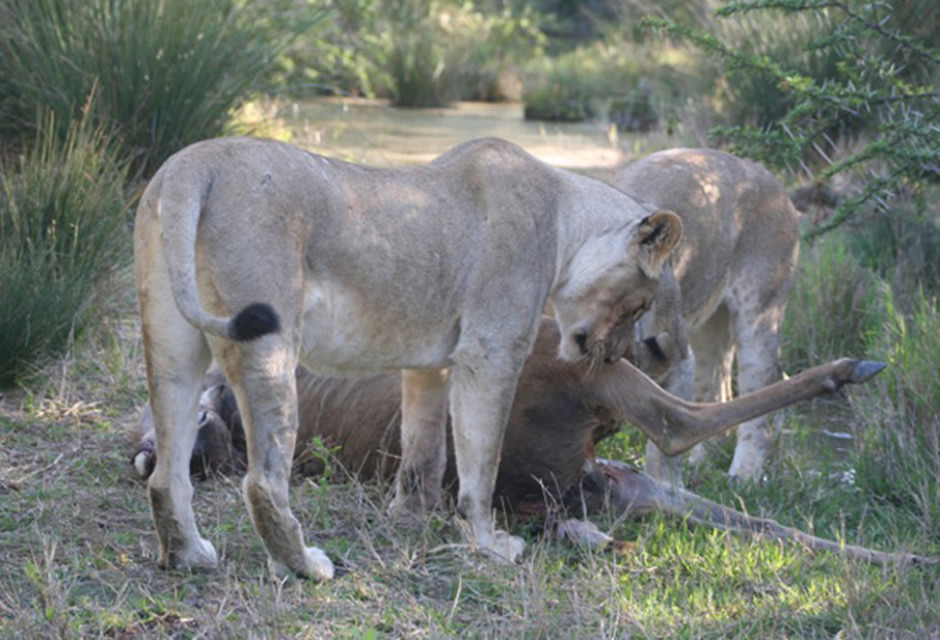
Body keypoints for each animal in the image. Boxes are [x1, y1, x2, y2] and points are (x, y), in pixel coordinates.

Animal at [130, 316, 916, 564]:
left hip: (613, 480)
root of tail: (556, 494)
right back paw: (852, 370)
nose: (149, 451)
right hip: (566, 373)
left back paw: (902, 556)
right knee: (677, 425)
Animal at [134, 136, 684, 580]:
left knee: (166, 474)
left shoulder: (431, 364)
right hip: (270, 343)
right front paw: (489, 545)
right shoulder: (491, 351)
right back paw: (304, 566)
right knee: (263, 482)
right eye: (640, 304)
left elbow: (424, 448)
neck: (566, 220)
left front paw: (409, 516)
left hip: (172, 346)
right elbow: (481, 462)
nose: (615, 355)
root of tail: (190, 165)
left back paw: (188, 557)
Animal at [612, 149, 804, 480]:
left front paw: (663, 490)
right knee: (717, 394)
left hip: (759, 313)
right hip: (707, 330)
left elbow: (663, 444)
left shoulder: (678, 362)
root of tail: (772, 180)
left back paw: (744, 474)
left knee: (759, 390)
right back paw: (702, 460)